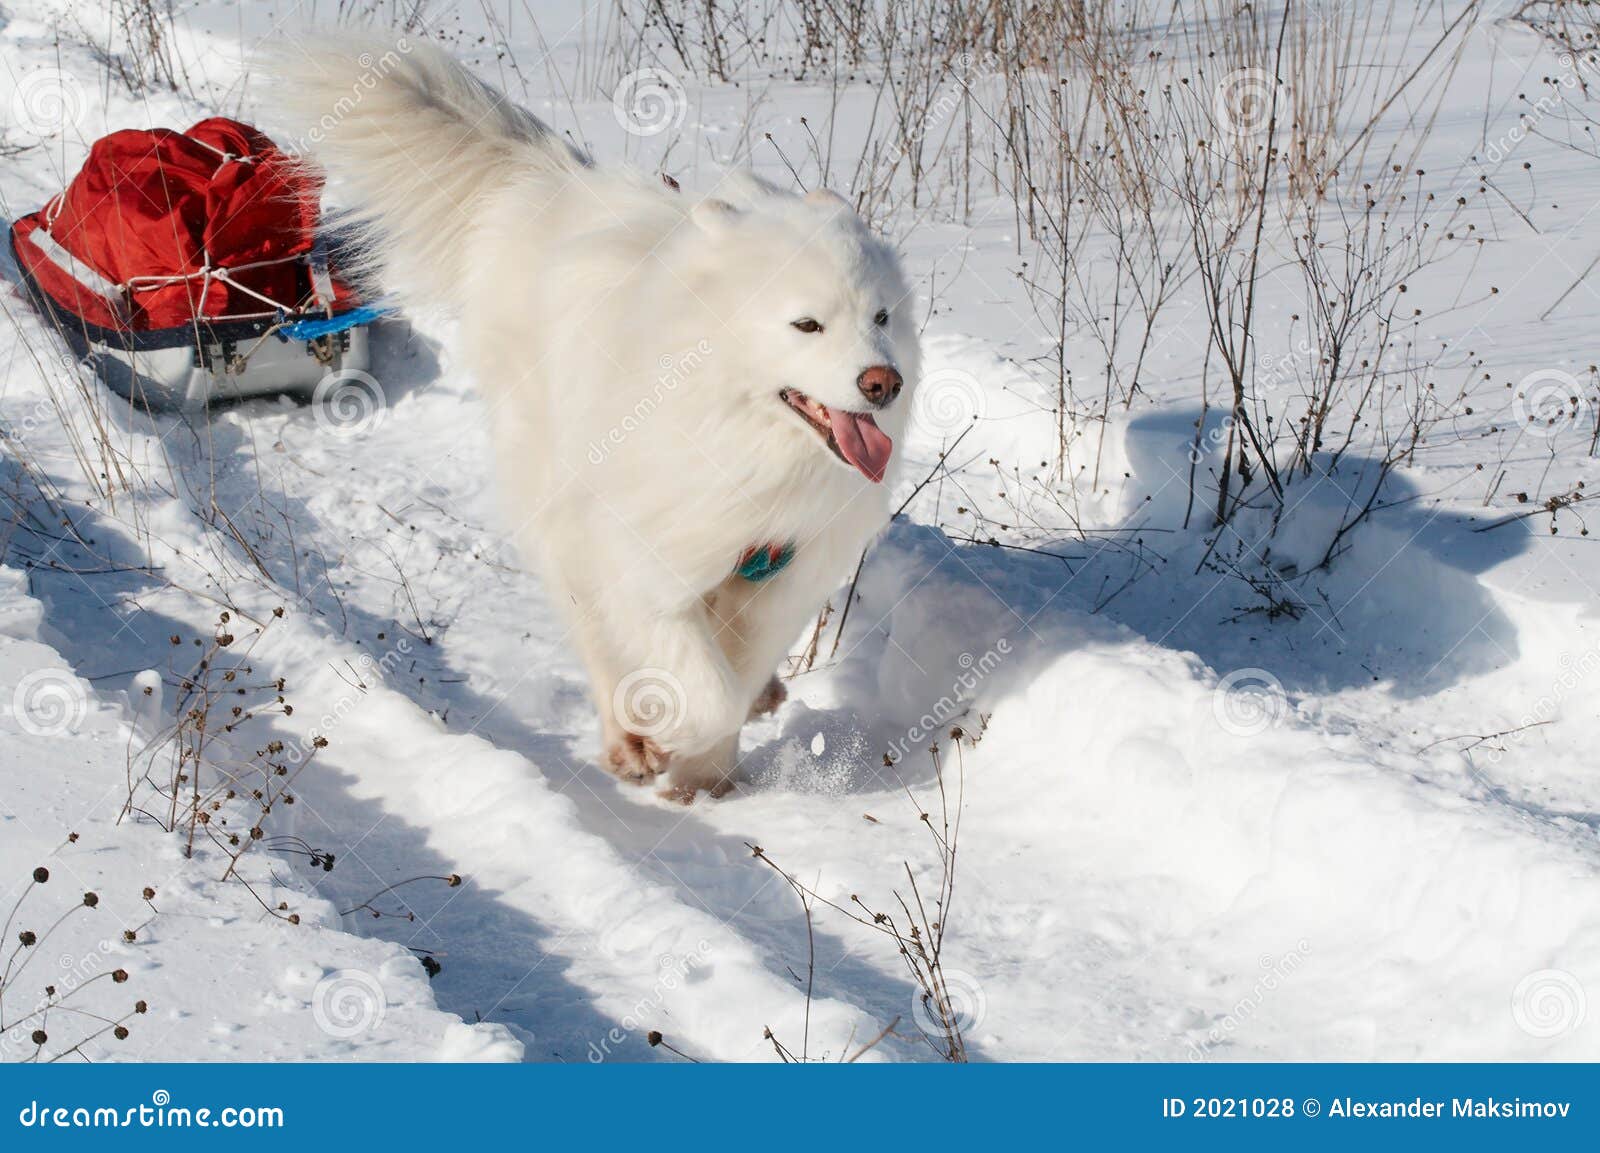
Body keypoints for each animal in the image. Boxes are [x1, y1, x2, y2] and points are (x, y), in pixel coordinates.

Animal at [270, 42, 921, 799]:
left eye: (881, 317)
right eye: (807, 324)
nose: (883, 383)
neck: (739, 437)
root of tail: (545, 183)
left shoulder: (782, 577)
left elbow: (737, 674)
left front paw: (709, 772)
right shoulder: (649, 562)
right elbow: (704, 689)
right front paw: (671, 732)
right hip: (563, 517)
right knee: (597, 640)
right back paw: (629, 741)